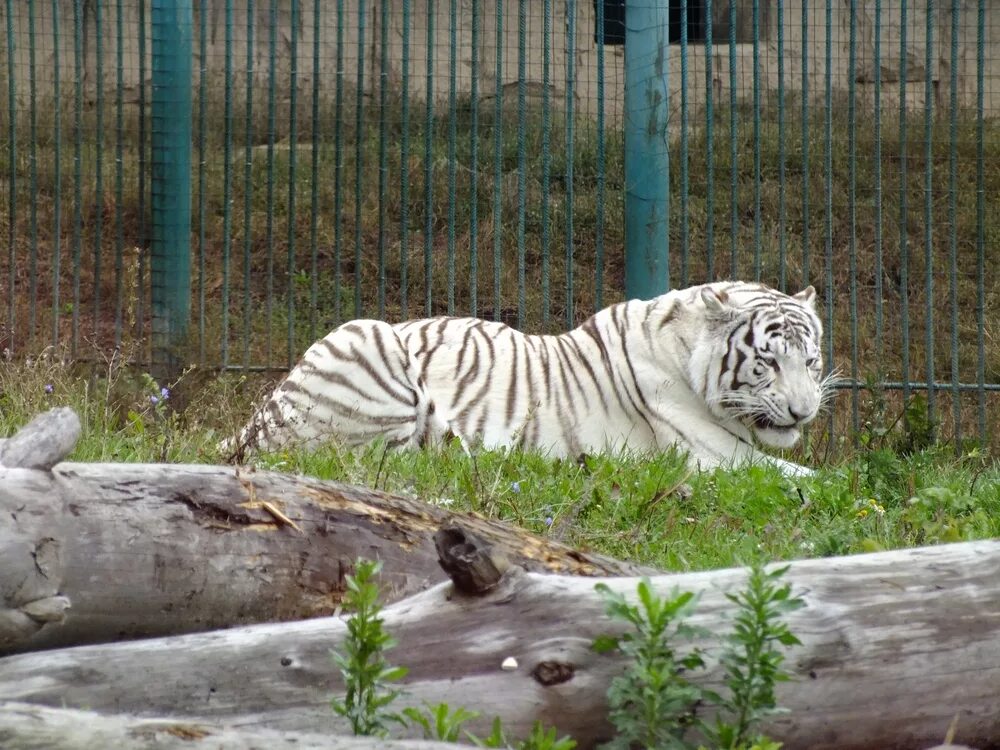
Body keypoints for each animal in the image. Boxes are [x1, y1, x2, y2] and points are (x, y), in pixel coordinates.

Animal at [225, 282, 828, 476]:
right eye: (768, 361)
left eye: (811, 362)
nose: (804, 413)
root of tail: (255, 427)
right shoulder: (713, 457)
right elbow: (816, 479)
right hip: (365, 341)